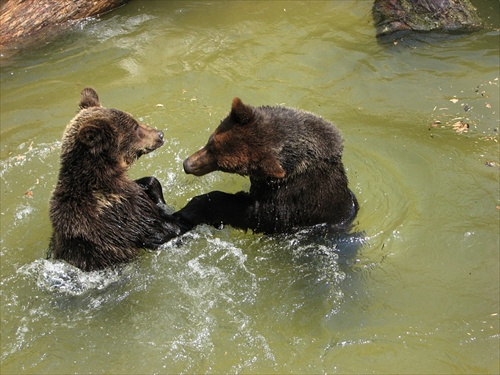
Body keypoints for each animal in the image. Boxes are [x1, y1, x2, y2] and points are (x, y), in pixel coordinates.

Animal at [49, 87, 186, 270]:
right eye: (135, 127)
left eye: (135, 121)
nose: (160, 134)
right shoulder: (119, 213)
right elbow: (161, 227)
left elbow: (147, 184)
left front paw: (159, 198)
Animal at [176, 98, 360, 234]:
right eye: (211, 141)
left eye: (223, 165)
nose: (187, 165)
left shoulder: (296, 196)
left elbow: (260, 215)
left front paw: (198, 206)